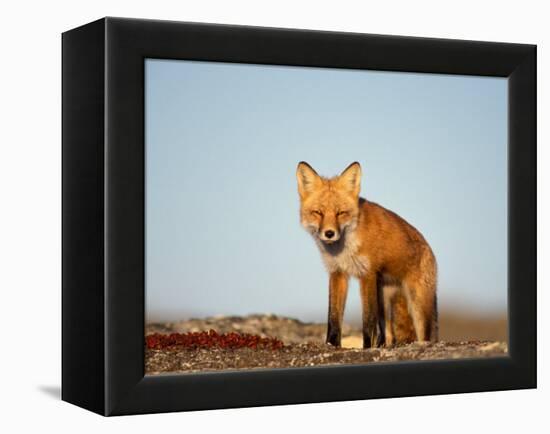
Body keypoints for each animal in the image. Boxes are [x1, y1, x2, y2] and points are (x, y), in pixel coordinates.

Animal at [298, 161, 440, 348]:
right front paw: (332, 345)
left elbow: (368, 321)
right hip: (384, 303)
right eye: (318, 213)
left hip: (417, 305)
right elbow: (333, 318)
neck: (344, 249)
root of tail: (428, 247)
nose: (329, 233)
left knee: (424, 335)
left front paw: (366, 347)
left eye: (341, 213)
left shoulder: (368, 273)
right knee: (386, 335)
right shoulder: (337, 273)